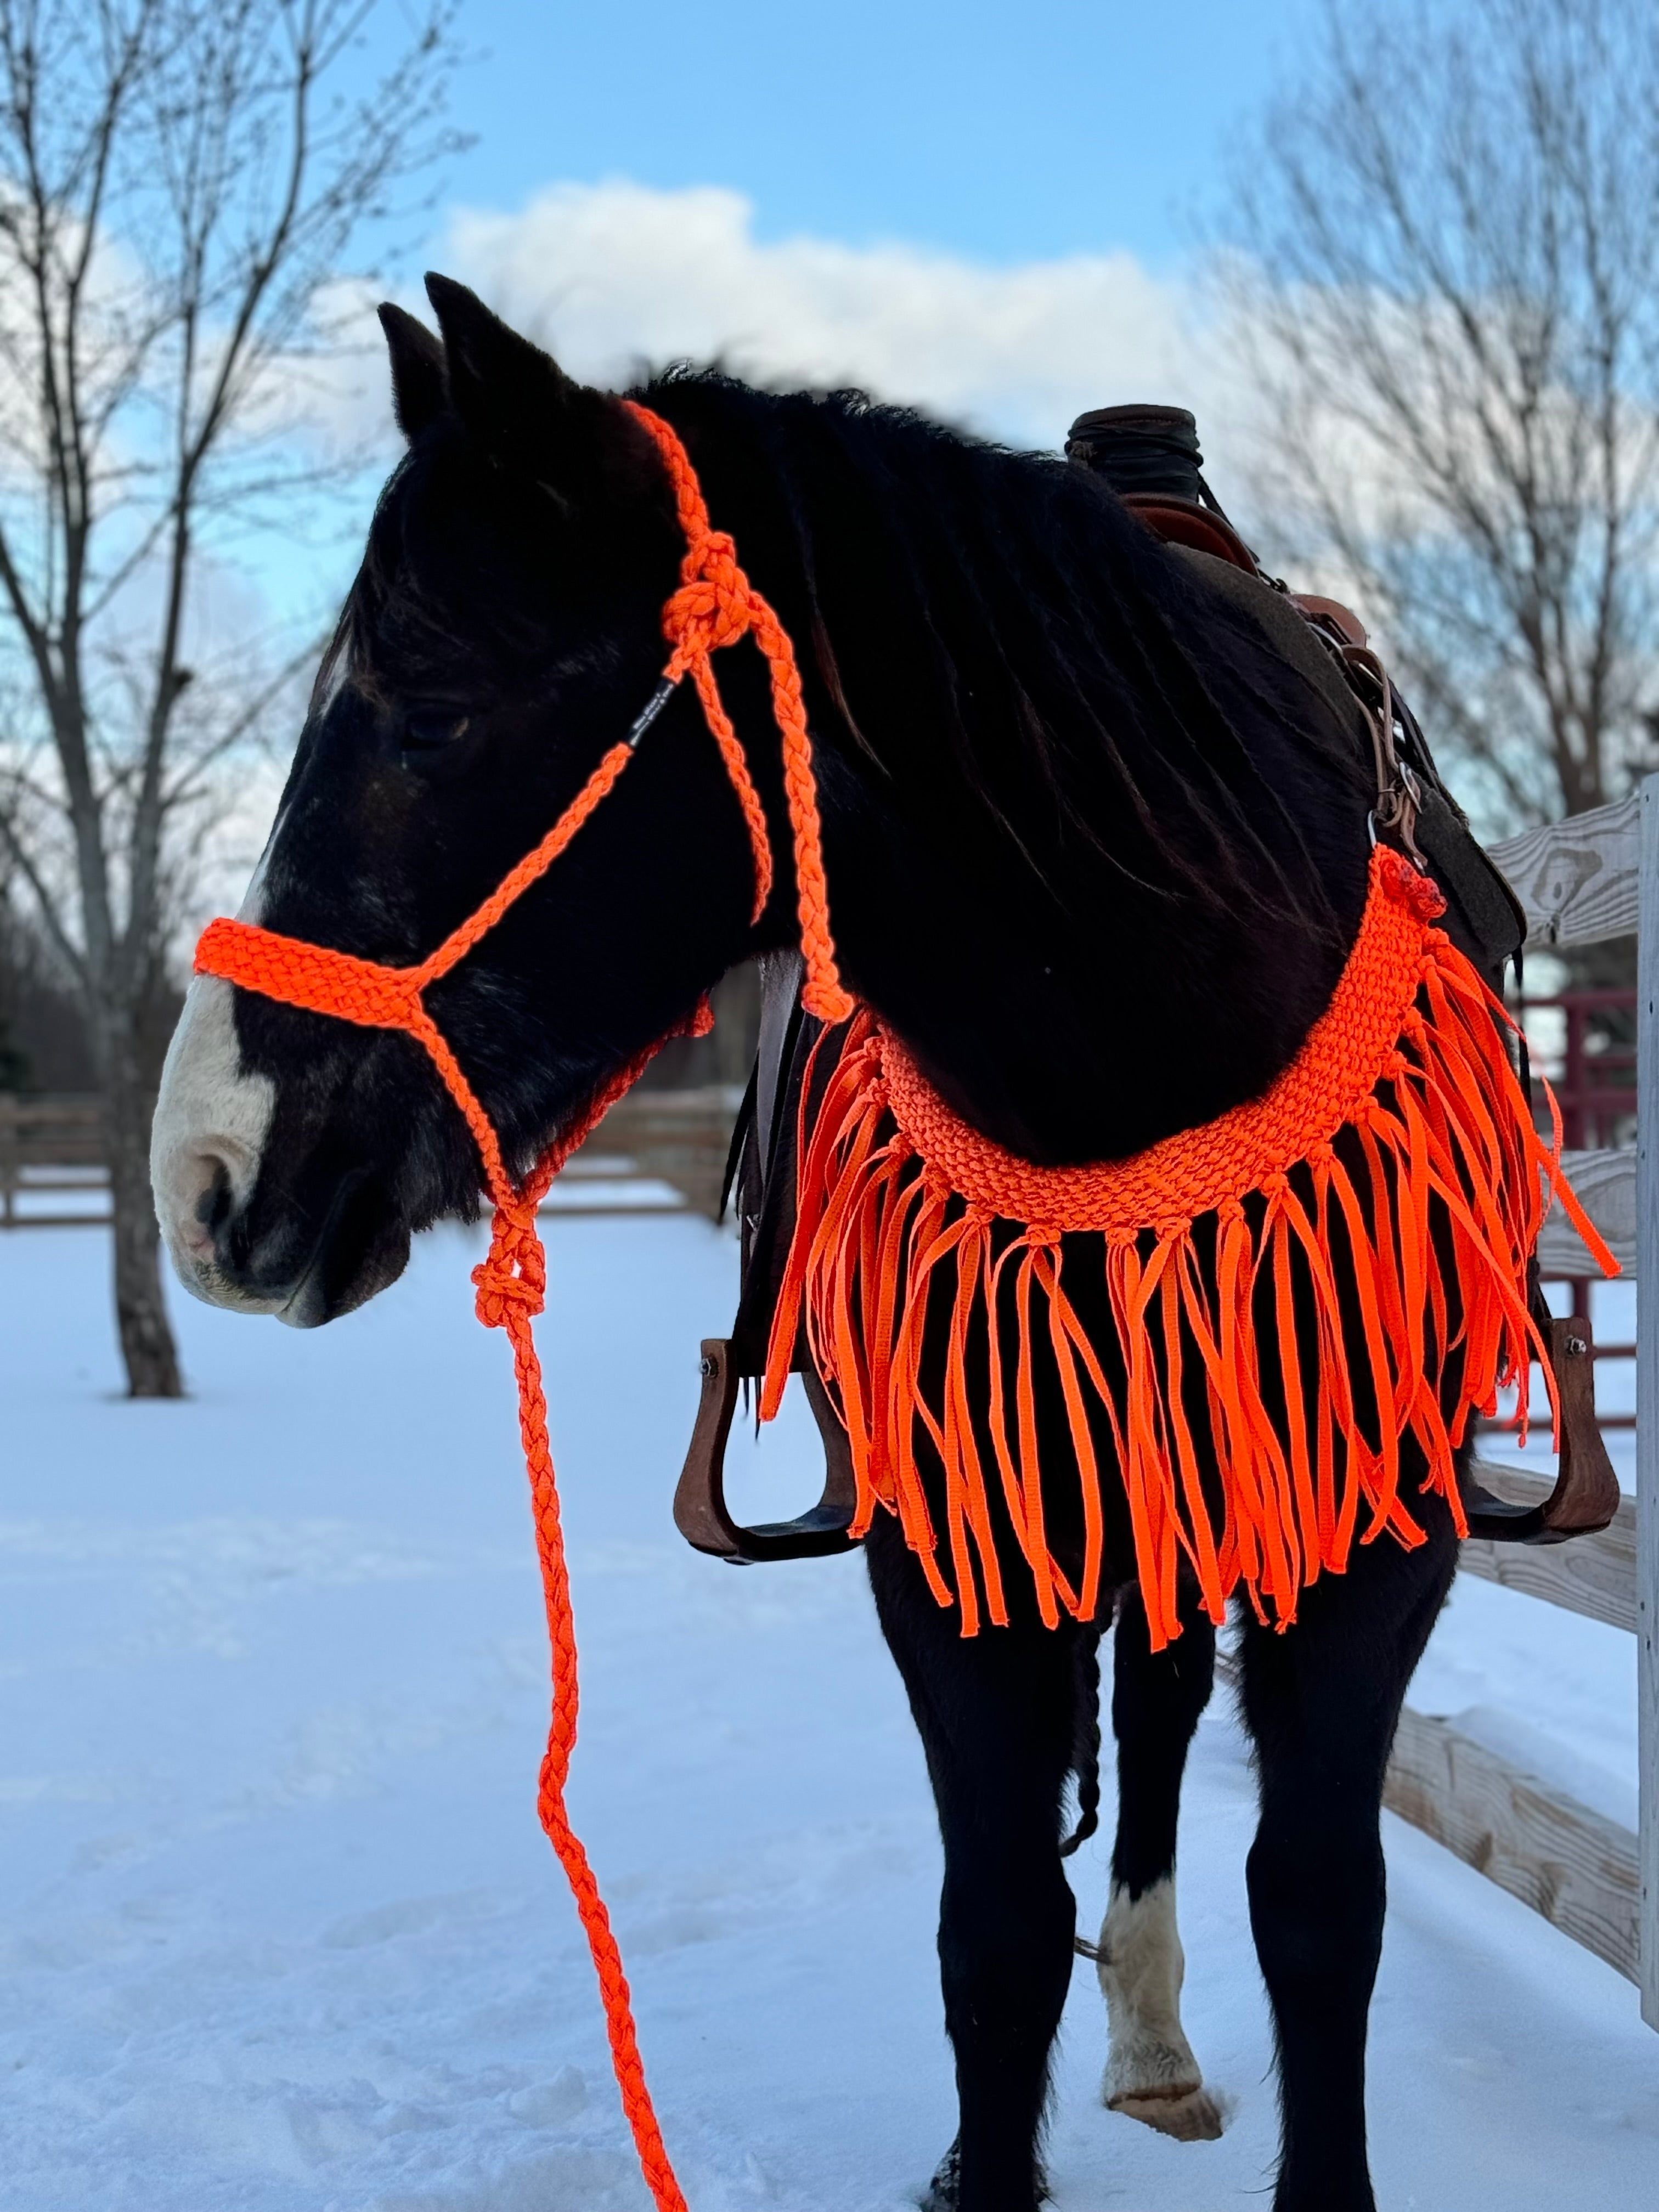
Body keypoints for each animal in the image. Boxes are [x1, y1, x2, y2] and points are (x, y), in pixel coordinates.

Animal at [149, 281, 1460, 2212]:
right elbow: (998, 1929)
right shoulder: (951, 1542)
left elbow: (1317, 1905)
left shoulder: (1376, 1537)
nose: (204, 1176)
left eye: (430, 715)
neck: (1145, 1060)